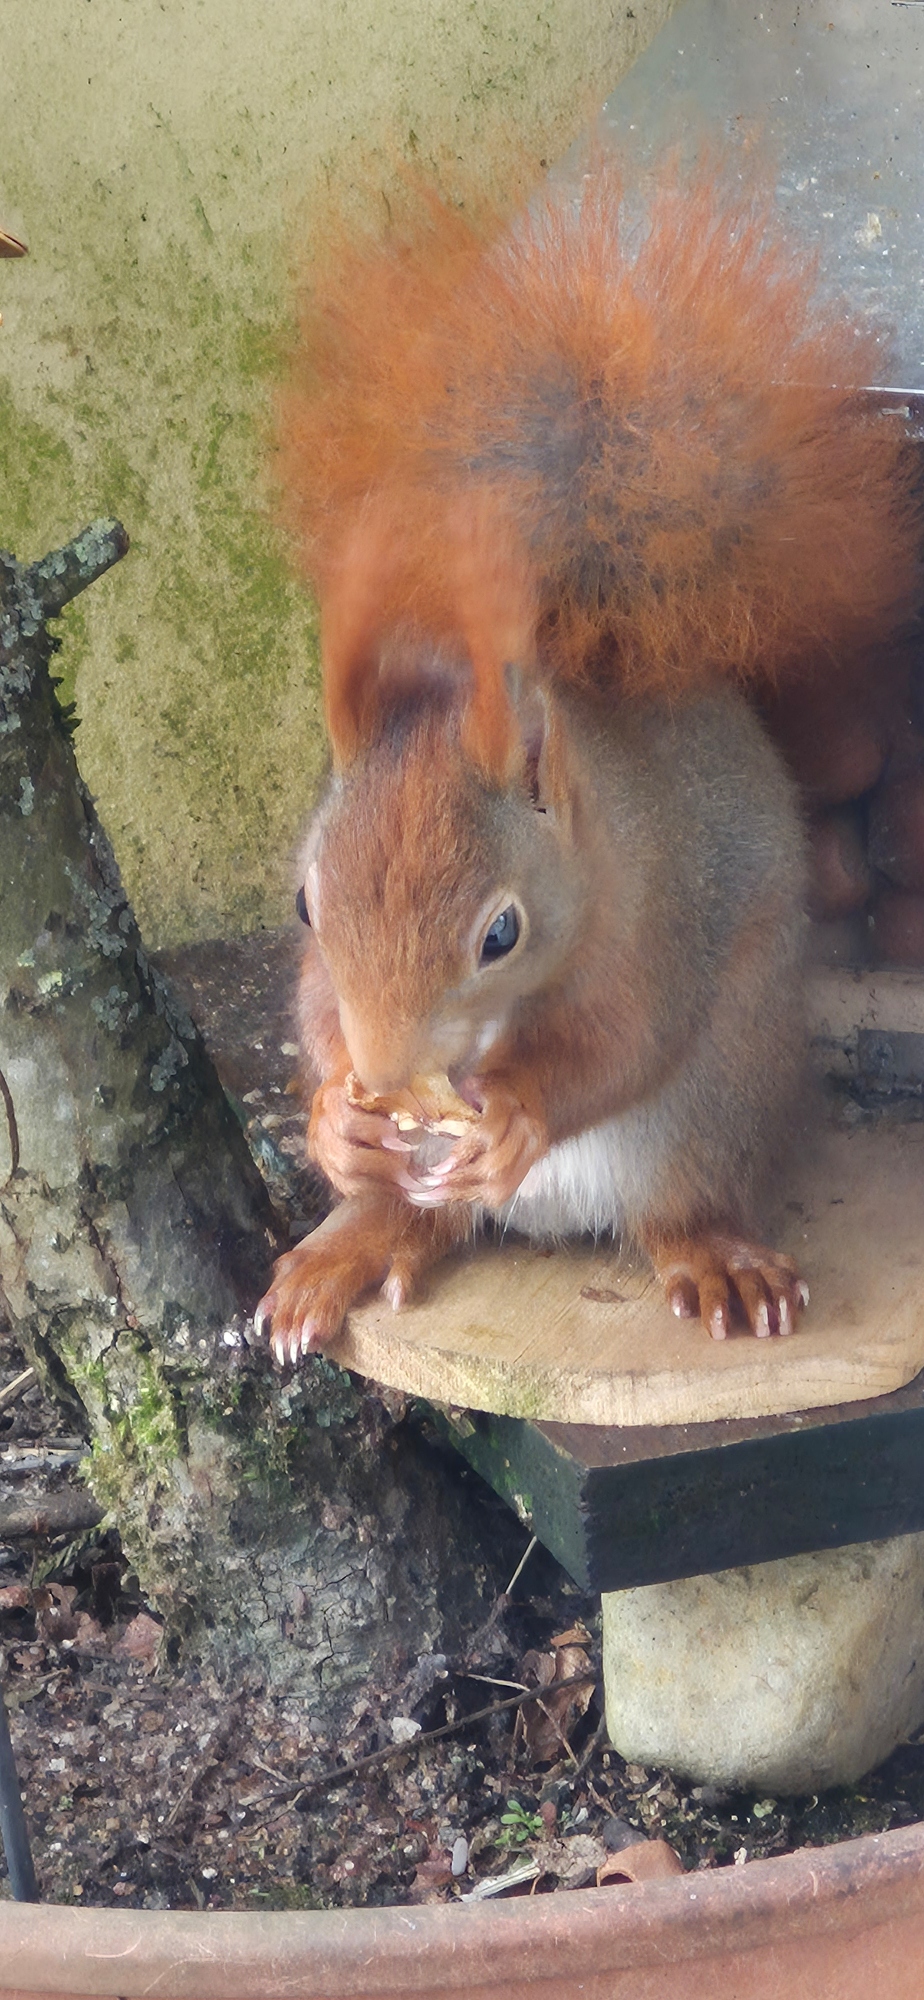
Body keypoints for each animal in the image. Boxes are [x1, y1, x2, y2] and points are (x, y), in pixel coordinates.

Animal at [255, 158, 922, 1366]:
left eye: (501, 934)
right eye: (302, 906)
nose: (387, 1077)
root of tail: (546, 1218)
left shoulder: (652, 917)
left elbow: (622, 1037)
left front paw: (521, 1110)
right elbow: (313, 1017)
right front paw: (336, 1114)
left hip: (711, 1106)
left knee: (677, 1203)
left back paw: (718, 1257)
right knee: (415, 1218)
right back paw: (350, 1242)